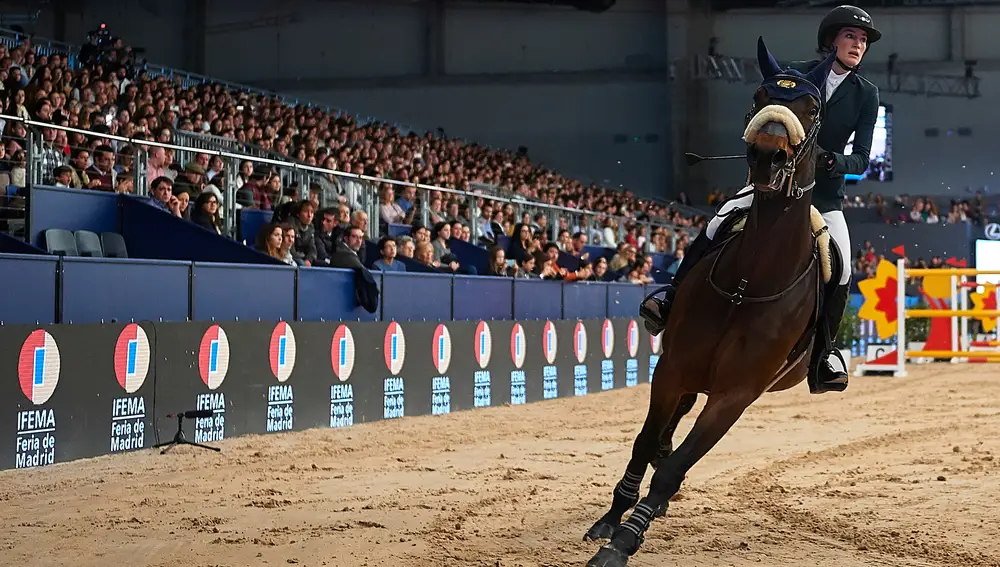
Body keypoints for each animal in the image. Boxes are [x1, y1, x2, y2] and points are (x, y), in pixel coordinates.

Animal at [584, 36, 840, 567]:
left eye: (812, 108)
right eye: (760, 95)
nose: (766, 157)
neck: (748, 282)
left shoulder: (734, 396)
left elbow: (674, 469)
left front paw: (625, 542)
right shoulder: (672, 368)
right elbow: (643, 443)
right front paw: (611, 520)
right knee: (668, 423)